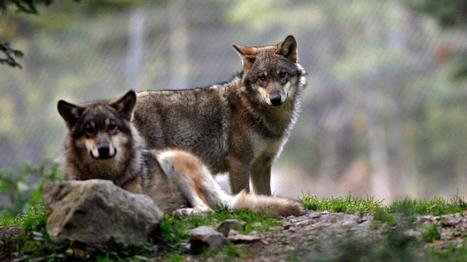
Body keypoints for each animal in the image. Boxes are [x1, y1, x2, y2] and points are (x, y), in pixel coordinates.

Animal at [56, 90, 306, 217]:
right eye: (89, 130)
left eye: (112, 128)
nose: (104, 149)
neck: (107, 175)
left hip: (171, 160)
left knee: (208, 210)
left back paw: (182, 212)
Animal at [133, 34, 308, 194]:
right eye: (262, 78)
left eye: (282, 74)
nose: (275, 99)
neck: (254, 109)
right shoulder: (239, 163)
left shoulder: (262, 165)